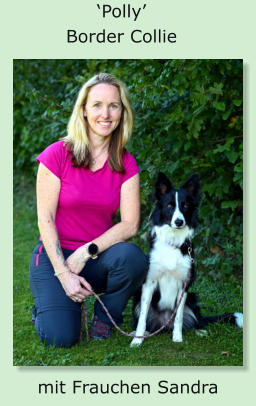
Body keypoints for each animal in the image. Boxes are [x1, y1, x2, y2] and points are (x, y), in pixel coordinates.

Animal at [131, 173, 243, 348]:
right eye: (170, 206)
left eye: (185, 206)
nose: (179, 222)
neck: (173, 241)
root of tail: (164, 325)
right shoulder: (149, 283)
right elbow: (142, 316)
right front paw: (137, 339)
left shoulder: (184, 284)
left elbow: (178, 317)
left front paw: (177, 338)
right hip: (137, 295)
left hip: (192, 298)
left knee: (194, 321)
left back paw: (200, 331)